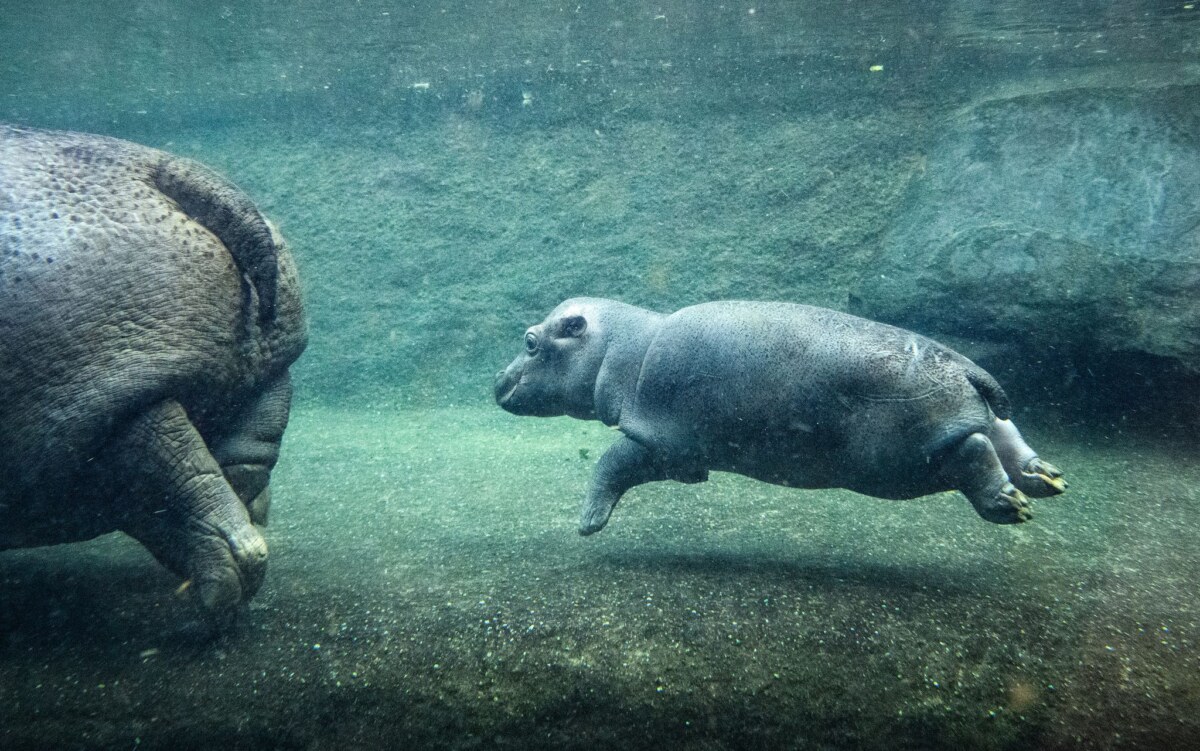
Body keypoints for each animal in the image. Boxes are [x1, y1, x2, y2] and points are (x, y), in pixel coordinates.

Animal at [0, 125, 306, 623]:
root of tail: (165, 168)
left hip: (88, 407)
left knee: (166, 465)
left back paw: (212, 599)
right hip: (268, 377)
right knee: (231, 467)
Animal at [495, 298, 1065, 535]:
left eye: (530, 341)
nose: (496, 380)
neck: (623, 346)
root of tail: (971, 369)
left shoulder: (664, 442)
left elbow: (610, 462)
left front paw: (588, 524)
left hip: (901, 462)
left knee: (973, 451)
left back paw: (1007, 506)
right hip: (971, 419)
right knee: (1006, 433)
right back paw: (1046, 480)